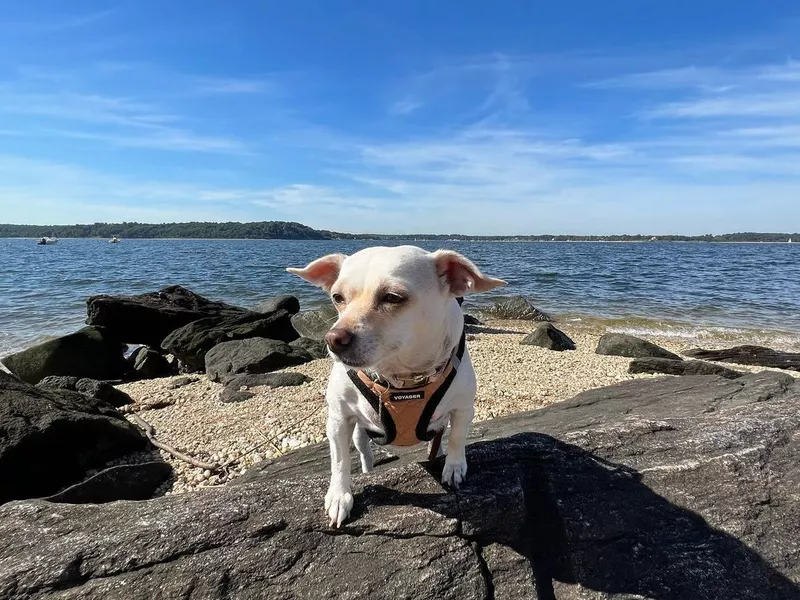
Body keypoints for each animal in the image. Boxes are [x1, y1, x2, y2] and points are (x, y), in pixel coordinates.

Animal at [288, 244, 506, 524]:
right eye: (337, 297)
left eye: (393, 297)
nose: (333, 338)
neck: (402, 377)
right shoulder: (337, 419)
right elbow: (339, 461)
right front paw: (339, 495)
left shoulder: (463, 409)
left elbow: (457, 438)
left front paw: (454, 468)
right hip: (359, 432)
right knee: (363, 449)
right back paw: (368, 469)